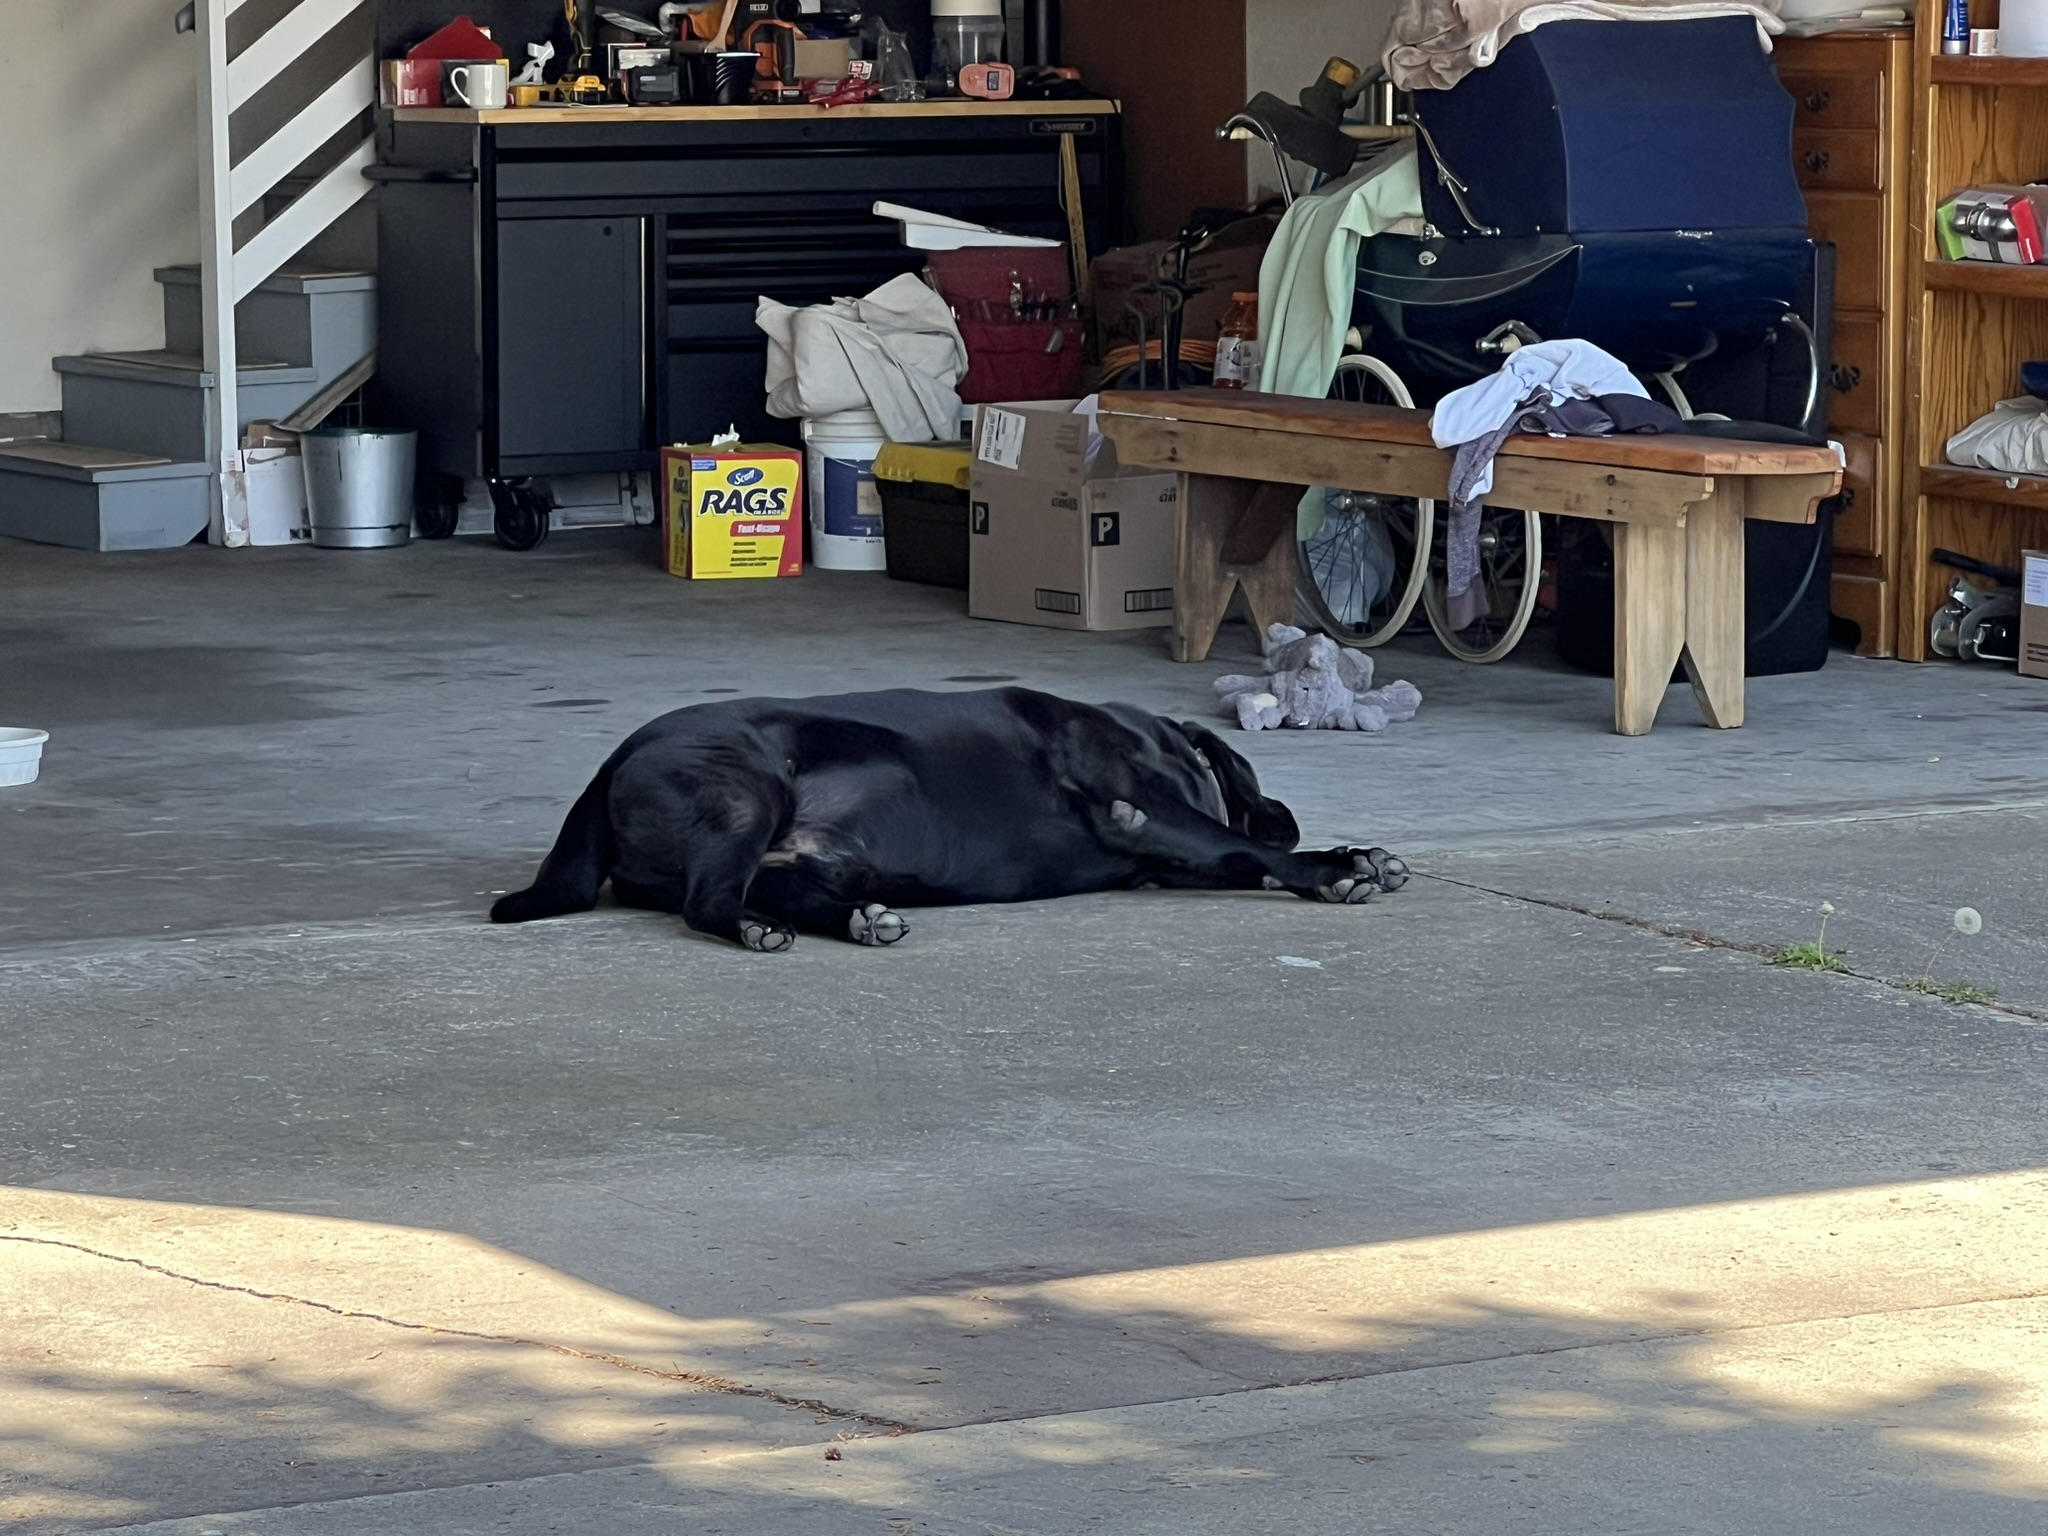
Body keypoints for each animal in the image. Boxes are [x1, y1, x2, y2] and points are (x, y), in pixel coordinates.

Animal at [492, 687, 1409, 950]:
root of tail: (613, 760)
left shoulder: (1168, 854)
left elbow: (1238, 855)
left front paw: (1356, 854)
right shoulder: (1139, 811)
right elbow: (1242, 846)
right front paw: (1334, 869)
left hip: (812, 852)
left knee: (777, 886)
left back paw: (858, 920)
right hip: (744, 787)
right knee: (709, 900)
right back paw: (756, 931)